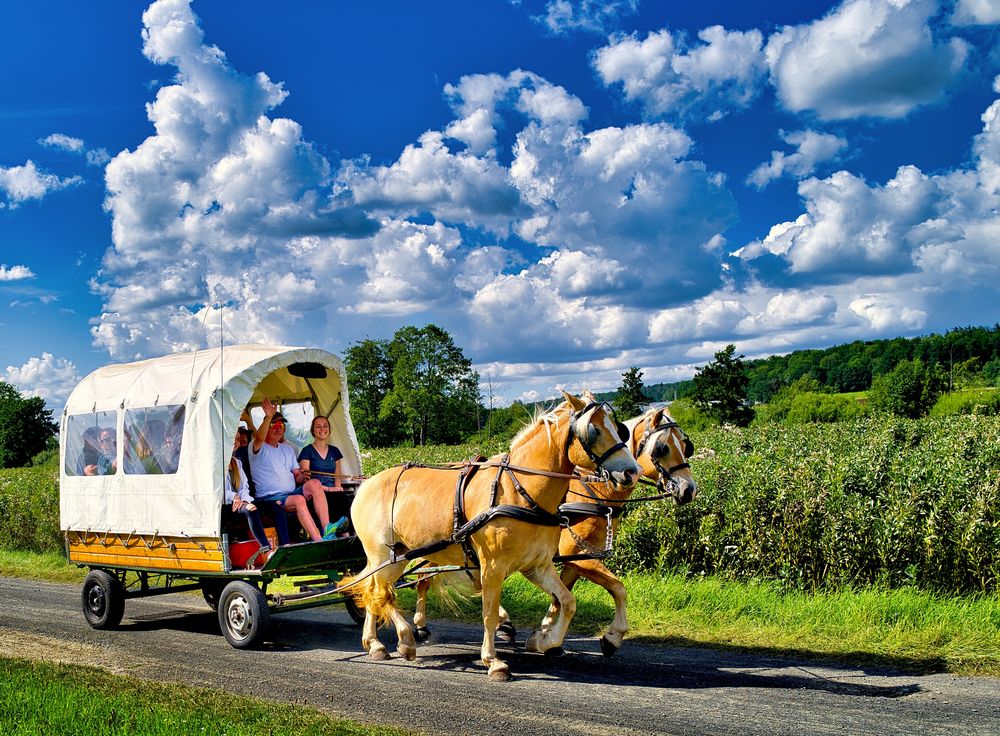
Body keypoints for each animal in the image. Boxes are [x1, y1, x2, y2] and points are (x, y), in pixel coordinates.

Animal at [346, 394, 640, 680]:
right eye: (594, 430)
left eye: (618, 429)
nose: (632, 471)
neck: (520, 491)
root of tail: (366, 484)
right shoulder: (493, 566)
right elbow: (488, 613)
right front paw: (493, 661)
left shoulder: (538, 565)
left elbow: (567, 601)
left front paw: (545, 640)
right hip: (385, 555)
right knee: (379, 592)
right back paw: (404, 639)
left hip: (398, 555)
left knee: (374, 590)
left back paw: (375, 643)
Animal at [410, 408, 700, 656]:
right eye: (662, 448)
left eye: (686, 446)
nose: (688, 489)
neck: (590, 493)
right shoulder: (579, 555)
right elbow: (618, 589)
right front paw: (611, 637)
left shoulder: (574, 559)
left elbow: (561, 597)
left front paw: (547, 635)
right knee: (424, 578)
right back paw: (423, 625)